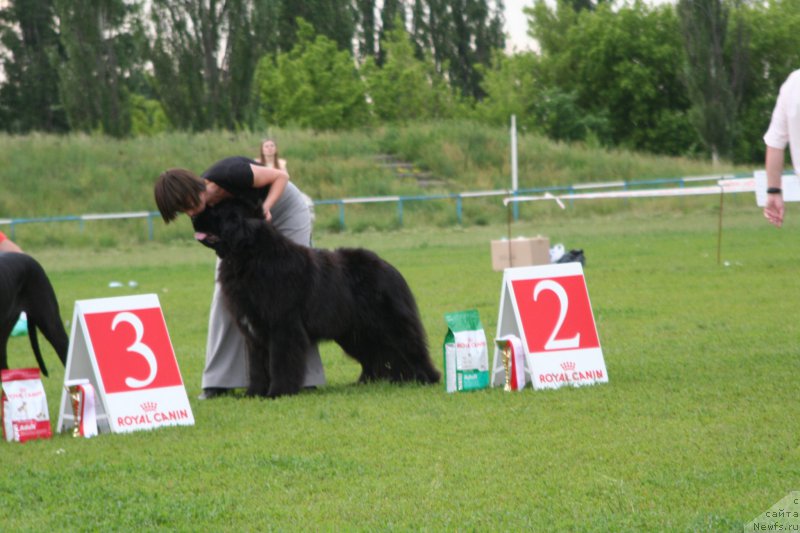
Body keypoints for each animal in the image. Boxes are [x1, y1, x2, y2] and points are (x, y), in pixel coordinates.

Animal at [193, 197, 440, 396]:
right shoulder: (254, 333)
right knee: (376, 356)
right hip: (356, 333)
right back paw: (368, 382)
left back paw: (427, 378)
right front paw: (254, 393)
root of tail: (389, 268)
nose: (194, 214)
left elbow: (279, 362)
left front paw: (278, 392)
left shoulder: (283, 327)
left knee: (411, 348)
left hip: (388, 325)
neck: (251, 257)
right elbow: (256, 367)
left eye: (216, 211)